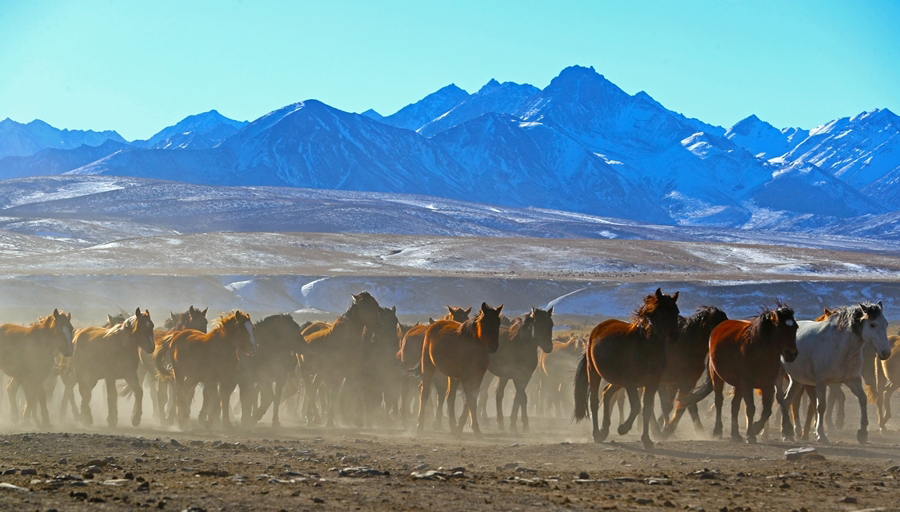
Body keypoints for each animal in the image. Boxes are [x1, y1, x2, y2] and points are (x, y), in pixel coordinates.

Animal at [418, 302, 502, 438]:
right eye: (484, 322)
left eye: (498, 322)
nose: (493, 347)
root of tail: (433, 325)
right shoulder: (466, 377)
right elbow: (470, 400)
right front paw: (474, 428)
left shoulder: (477, 377)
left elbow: (470, 400)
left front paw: (464, 427)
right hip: (428, 366)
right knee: (425, 392)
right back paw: (420, 425)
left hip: (453, 377)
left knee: (450, 397)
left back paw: (452, 427)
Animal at [572, 290, 680, 450]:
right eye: (660, 312)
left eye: (676, 312)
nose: (673, 336)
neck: (647, 347)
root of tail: (594, 331)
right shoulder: (631, 384)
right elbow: (636, 407)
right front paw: (622, 428)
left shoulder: (652, 384)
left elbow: (647, 409)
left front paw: (647, 440)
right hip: (594, 373)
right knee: (594, 401)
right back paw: (597, 434)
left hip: (617, 381)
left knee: (606, 393)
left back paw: (604, 430)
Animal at [660, 306, 732, 438]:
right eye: (714, 325)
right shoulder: (681, 382)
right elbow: (686, 406)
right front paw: (667, 429)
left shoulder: (688, 382)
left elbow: (685, 405)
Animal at [680, 304, 800, 444]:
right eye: (780, 327)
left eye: (795, 327)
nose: (792, 354)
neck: (758, 352)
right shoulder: (747, 384)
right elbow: (751, 408)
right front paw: (751, 435)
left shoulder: (768, 385)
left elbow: (766, 410)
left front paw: (755, 428)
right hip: (717, 377)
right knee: (719, 402)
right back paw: (717, 431)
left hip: (738, 385)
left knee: (734, 405)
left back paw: (736, 434)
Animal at [780, 300, 892, 444]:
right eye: (872, 325)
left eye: (886, 323)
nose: (886, 352)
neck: (841, 347)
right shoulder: (821, 382)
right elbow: (821, 406)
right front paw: (821, 435)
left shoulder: (853, 380)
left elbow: (862, 399)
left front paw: (862, 433)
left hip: (796, 380)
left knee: (787, 400)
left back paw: (786, 432)